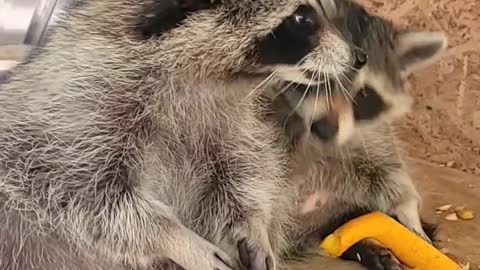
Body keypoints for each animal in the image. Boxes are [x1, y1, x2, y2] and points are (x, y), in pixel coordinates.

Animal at [0, 0, 366, 270]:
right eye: (303, 17)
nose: (361, 56)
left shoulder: (232, 117)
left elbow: (242, 169)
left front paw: (253, 224)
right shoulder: (79, 104)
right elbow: (87, 192)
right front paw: (172, 236)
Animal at [262, 0, 446, 268]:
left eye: (365, 94)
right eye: (315, 78)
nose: (325, 128)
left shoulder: (369, 135)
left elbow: (390, 171)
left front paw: (408, 210)